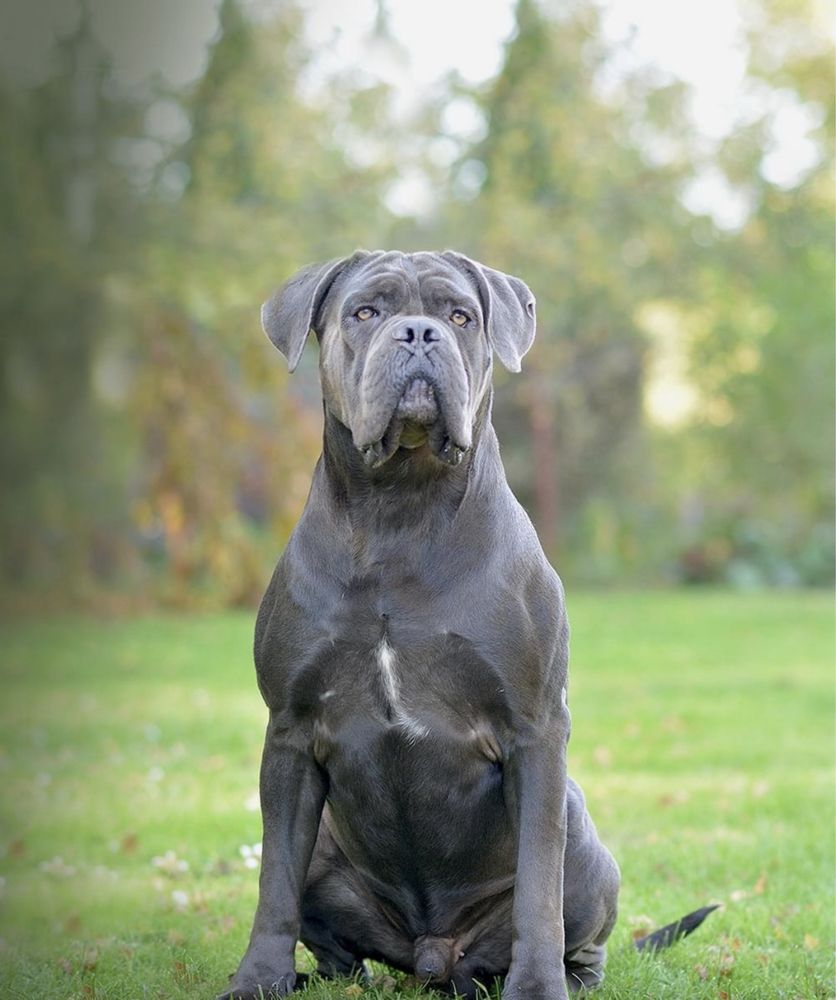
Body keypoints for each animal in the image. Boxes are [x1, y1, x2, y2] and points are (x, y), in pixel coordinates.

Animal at [219, 250, 624, 1000]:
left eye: (460, 315)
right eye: (365, 311)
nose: (418, 333)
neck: (399, 510)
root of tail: (437, 956)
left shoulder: (534, 729)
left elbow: (538, 888)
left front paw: (536, 988)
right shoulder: (289, 732)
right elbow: (274, 881)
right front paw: (258, 979)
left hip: (583, 840)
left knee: (573, 915)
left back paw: (564, 976)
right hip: (328, 853)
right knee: (331, 929)